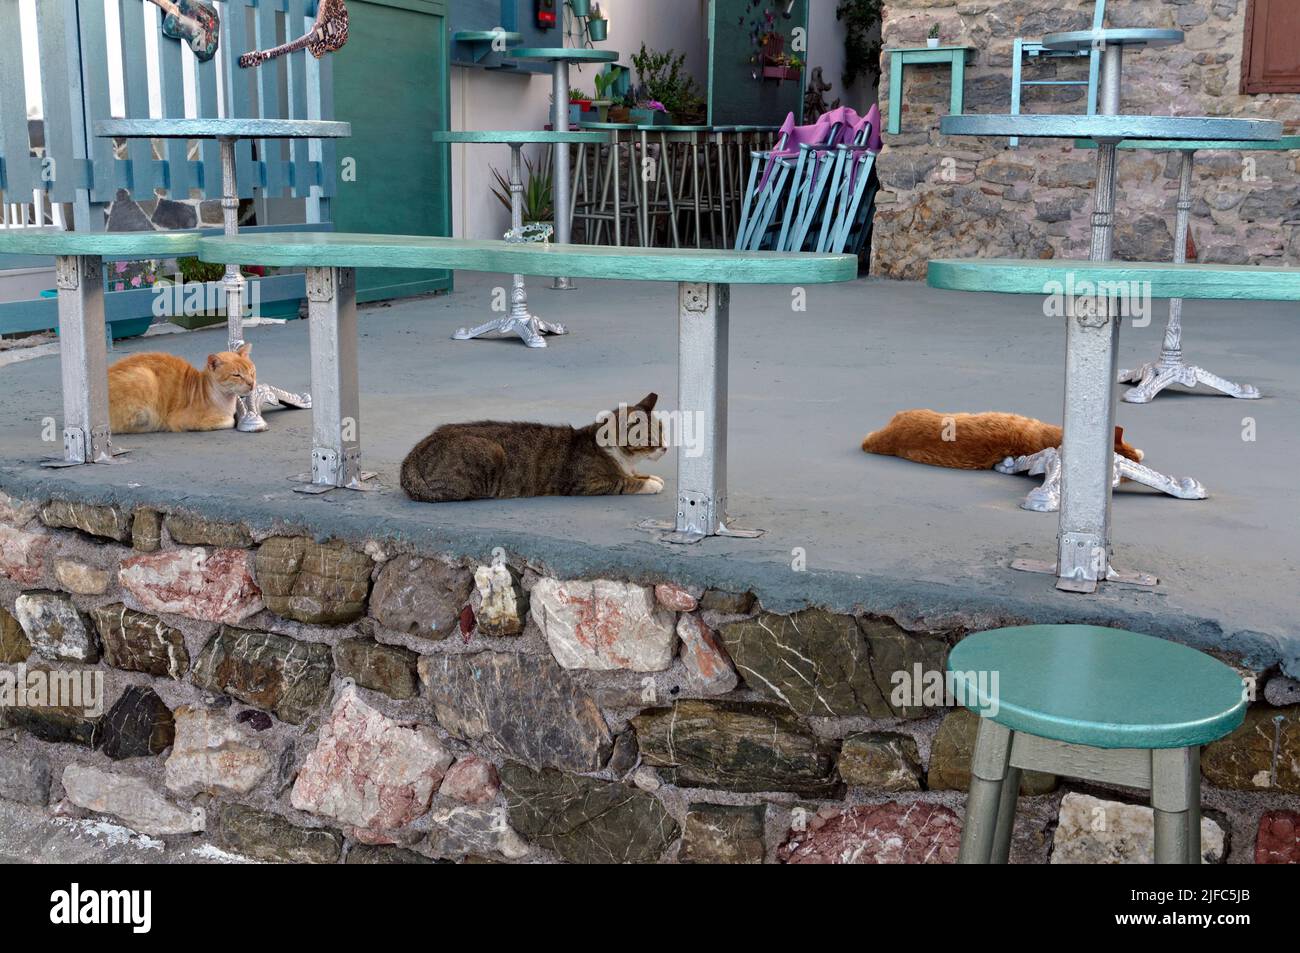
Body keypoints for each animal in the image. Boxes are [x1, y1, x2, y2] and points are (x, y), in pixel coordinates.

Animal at [110, 343, 257, 434]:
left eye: (251, 372)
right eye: (236, 375)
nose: (252, 383)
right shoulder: (179, 420)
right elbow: (230, 421)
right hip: (145, 377)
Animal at [397, 392, 665, 501]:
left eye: (663, 430)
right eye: (653, 439)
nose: (665, 448)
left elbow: (634, 474)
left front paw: (652, 477)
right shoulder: (587, 483)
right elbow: (624, 482)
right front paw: (650, 484)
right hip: (489, 453)